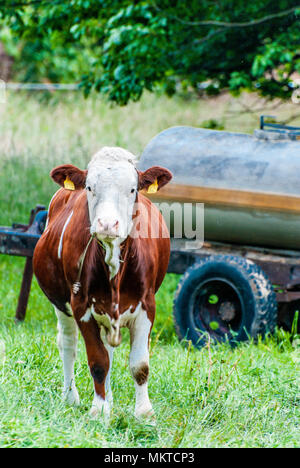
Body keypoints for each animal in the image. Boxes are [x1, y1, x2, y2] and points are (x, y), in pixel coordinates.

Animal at [33, 147, 172, 420]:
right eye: (89, 187)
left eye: (133, 189)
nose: (107, 224)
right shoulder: (81, 306)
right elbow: (98, 362)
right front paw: (99, 409)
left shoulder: (147, 306)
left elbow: (139, 364)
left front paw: (144, 413)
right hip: (61, 303)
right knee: (69, 343)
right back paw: (72, 397)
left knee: (108, 349)